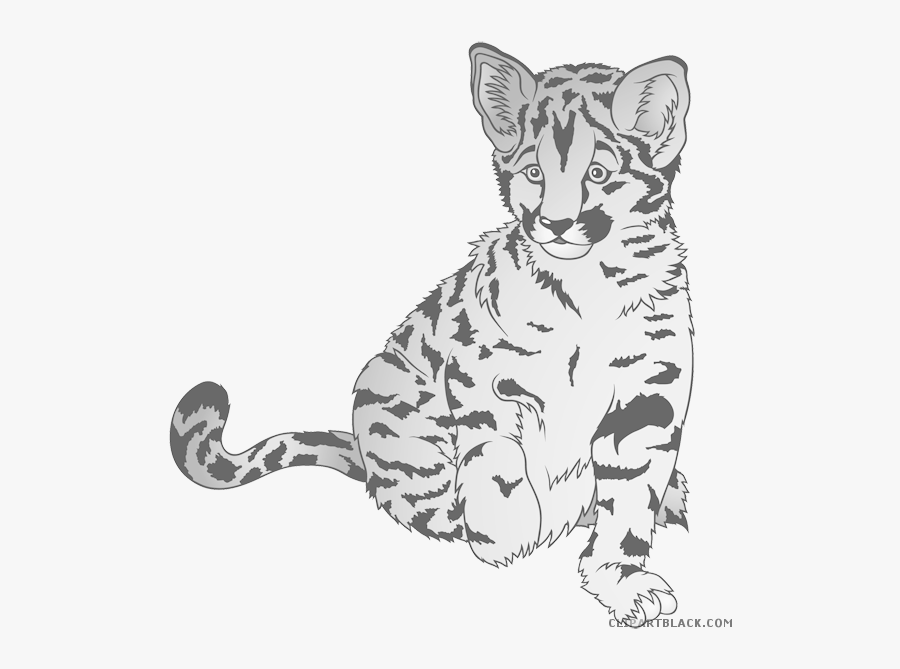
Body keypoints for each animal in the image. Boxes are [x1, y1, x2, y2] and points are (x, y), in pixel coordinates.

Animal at [170, 43, 693, 626]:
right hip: (386, 393)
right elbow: (496, 453)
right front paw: (507, 534)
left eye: (598, 172)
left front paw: (621, 579)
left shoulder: (649, 396)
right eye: (534, 172)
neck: (589, 285)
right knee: (426, 502)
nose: (555, 224)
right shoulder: (478, 370)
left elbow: (629, 498)